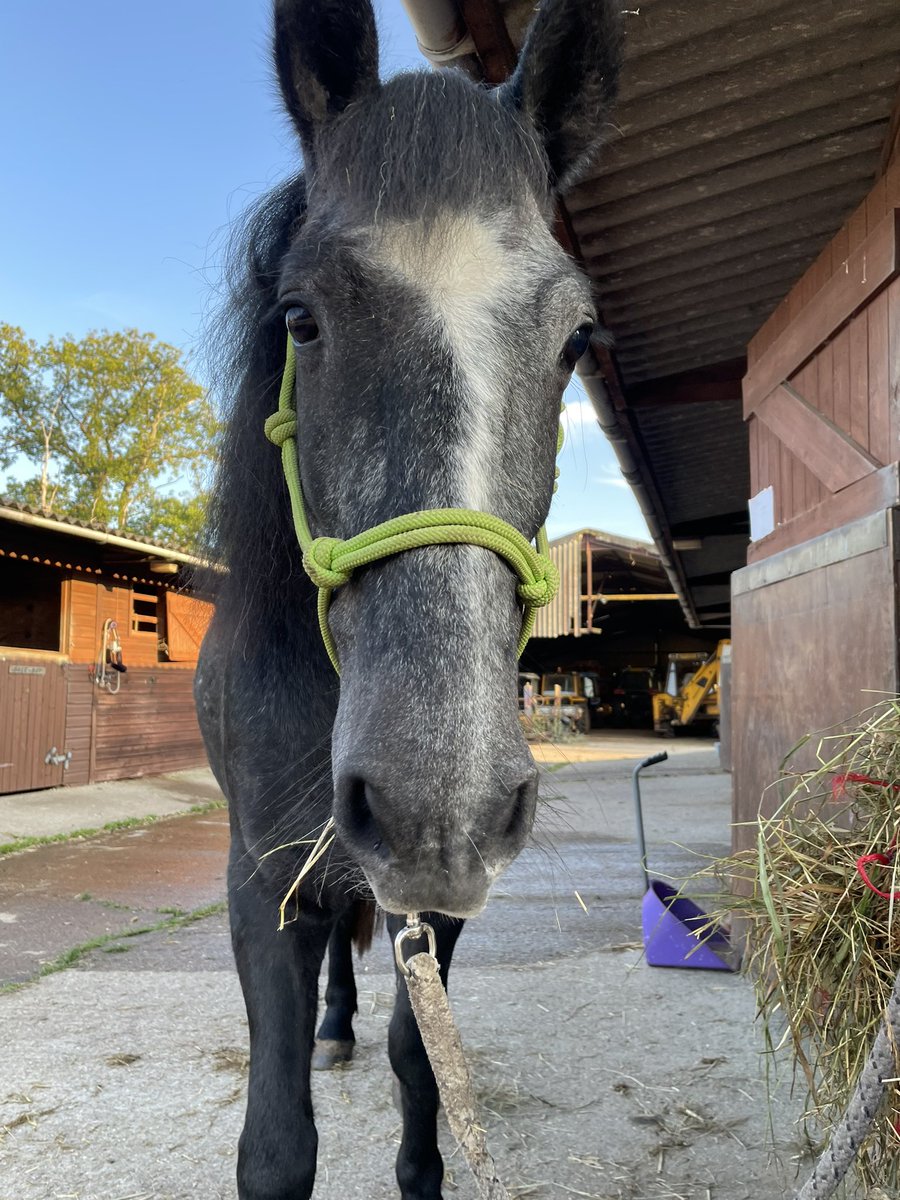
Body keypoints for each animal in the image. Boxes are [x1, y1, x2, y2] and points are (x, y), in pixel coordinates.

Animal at [195, 0, 621, 1194]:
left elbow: (418, 1056)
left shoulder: (435, 904)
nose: (438, 803)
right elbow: (276, 1137)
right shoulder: (261, 882)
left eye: (577, 337)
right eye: (299, 317)